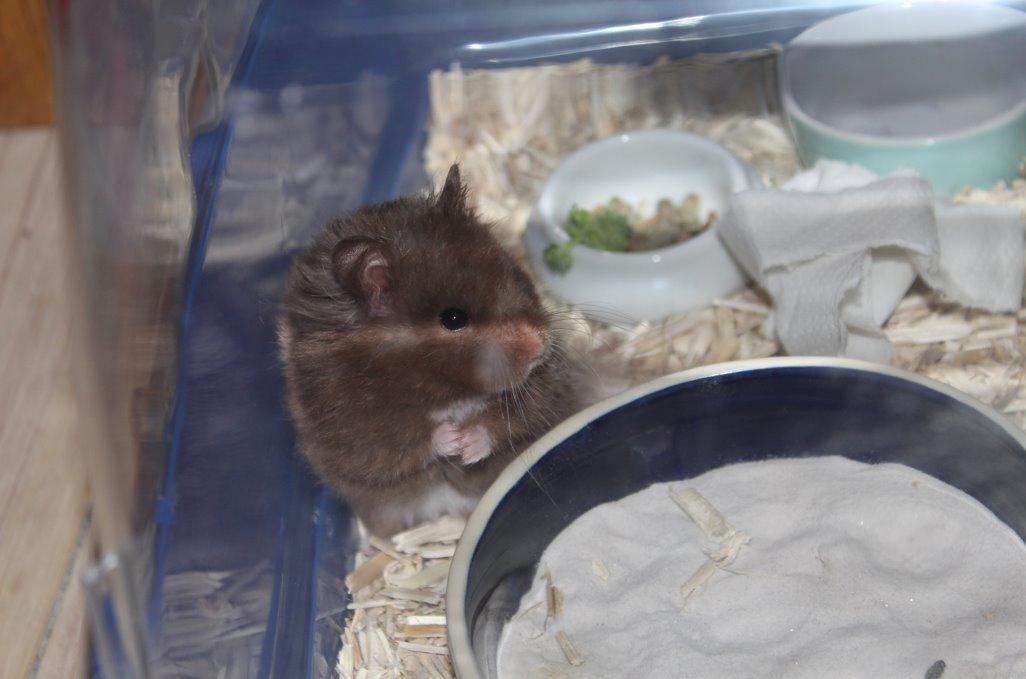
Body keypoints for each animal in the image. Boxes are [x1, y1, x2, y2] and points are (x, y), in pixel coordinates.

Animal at [279, 165, 590, 538]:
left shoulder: (545, 390)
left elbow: (508, 419)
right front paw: (451, 437)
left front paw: (467, 444)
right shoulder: (348, 422)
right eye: (453, 318)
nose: (542, 345)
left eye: (516, 273)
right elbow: (403, 443)